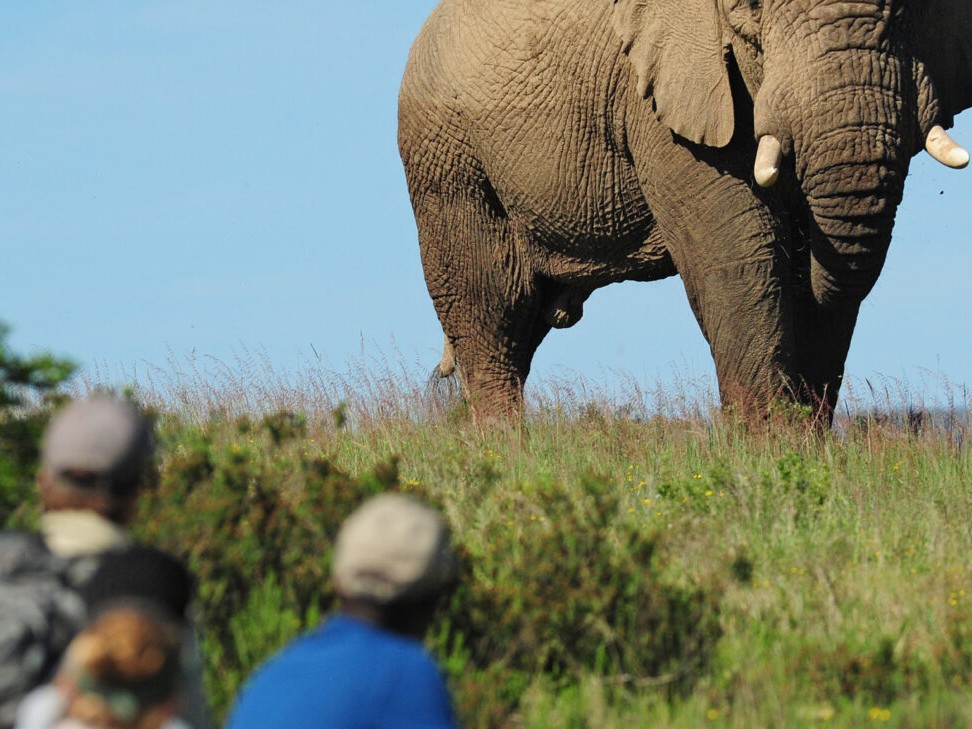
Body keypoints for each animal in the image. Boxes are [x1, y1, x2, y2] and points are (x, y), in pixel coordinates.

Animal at [397, 0, 971, 420]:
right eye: (751, 10)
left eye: (909, 11)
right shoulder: (661, 103)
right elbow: (740, 260)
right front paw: (772, 459)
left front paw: (807, 450)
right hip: (446, 160)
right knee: (493, 314)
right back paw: (507, 453)